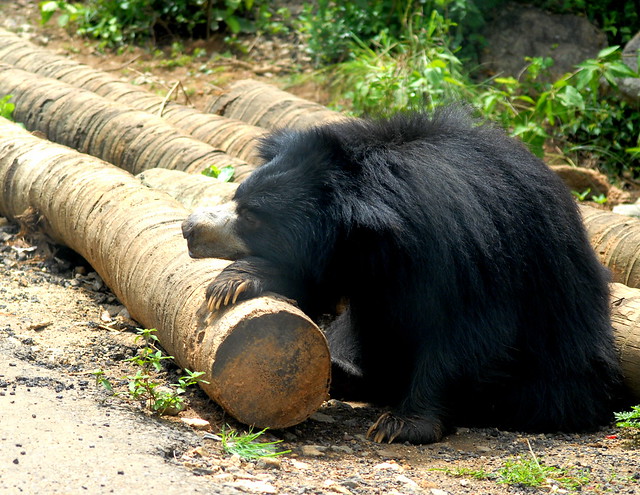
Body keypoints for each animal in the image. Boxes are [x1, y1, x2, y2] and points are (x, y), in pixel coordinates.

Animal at [182, 107, 624, 446]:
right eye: (238, 198)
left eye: (252, 217)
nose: (189, 228)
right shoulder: (362, 261)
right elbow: (321, 285)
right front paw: (237, 281)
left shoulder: (470, 251)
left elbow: (470, 333)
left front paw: (401, 426)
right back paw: (340, 373)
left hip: (555, 381)